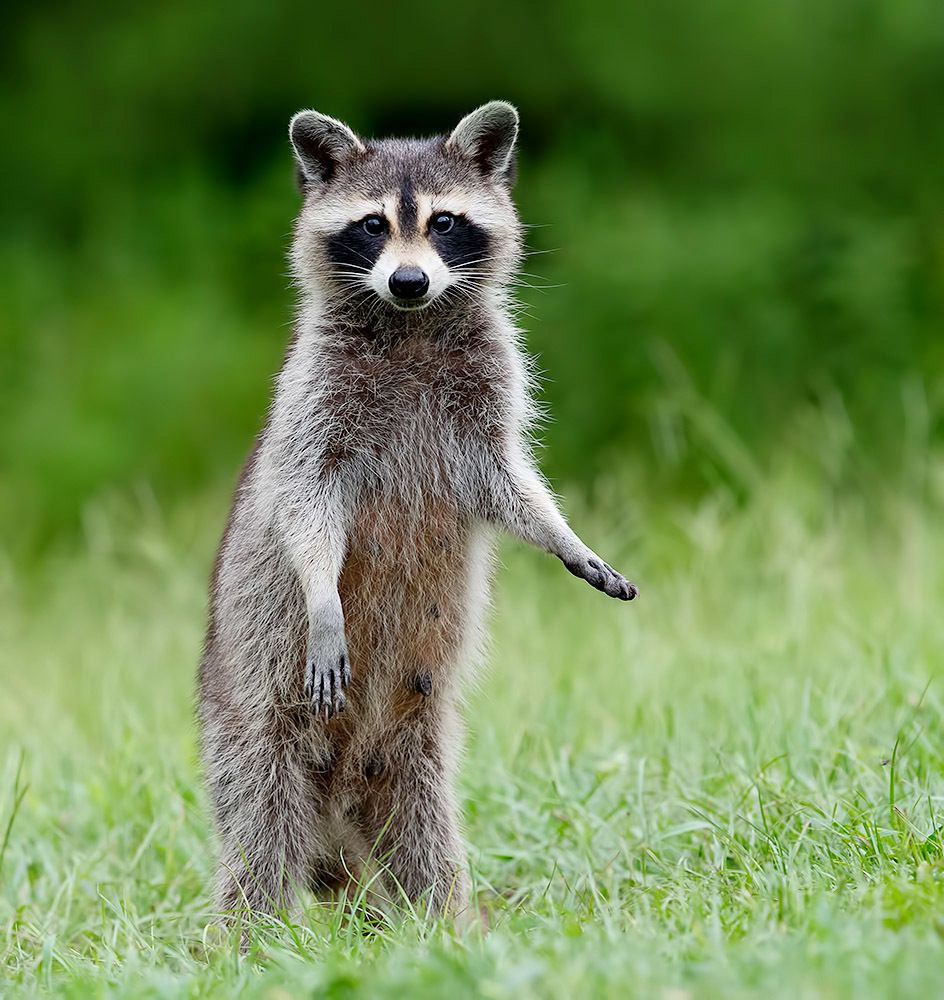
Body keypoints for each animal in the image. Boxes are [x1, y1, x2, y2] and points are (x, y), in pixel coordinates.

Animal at [198, 101, 637, 921]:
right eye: (373, 225)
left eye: (443, 222)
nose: (408, 280)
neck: (409, 323)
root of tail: (338, 799)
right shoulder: (314, 400)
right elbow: (304, 500)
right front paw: (322, 594)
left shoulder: (486, 393)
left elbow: (507, 481)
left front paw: (563, 534)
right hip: (251, 712)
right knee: (260, 829)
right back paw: (248, 937)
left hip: (410, 745)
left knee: (424, 834)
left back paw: (446, 922)